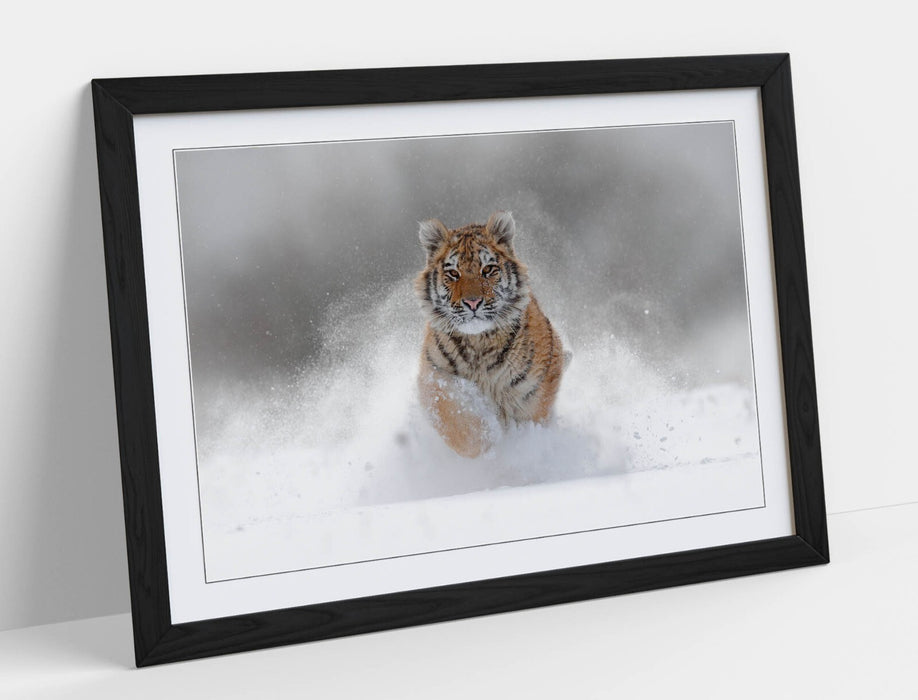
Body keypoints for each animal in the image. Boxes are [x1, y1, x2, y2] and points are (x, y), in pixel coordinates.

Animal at [415, 211, 566, 458]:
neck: (479, 343)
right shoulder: (434, 376)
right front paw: (486, 442)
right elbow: (458, 422)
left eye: (487, 270)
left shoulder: (533, 390)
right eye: (453, 273)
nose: (472, 302)